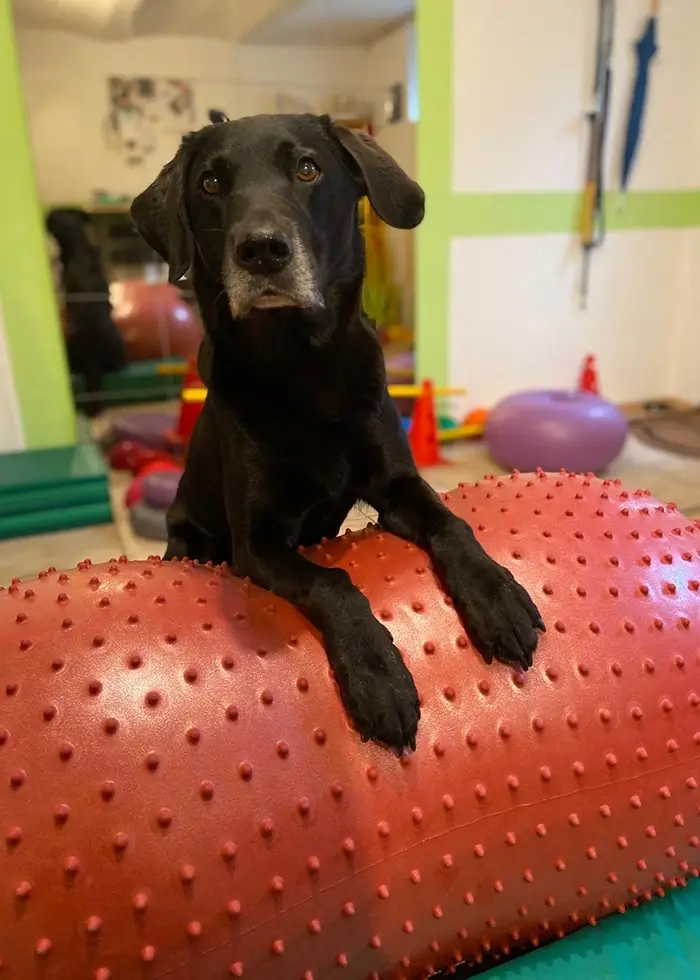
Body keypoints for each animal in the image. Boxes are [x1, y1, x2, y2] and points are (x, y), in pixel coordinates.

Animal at [131, 115, 548, 756]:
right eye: (210, 183)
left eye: (308, 168)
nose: (261, 250)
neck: (303, 368)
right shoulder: (259, 544)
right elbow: (333, 582)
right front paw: (378, 676)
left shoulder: (398, 483)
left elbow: (452, 525)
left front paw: (497, 598)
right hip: (190, 535)